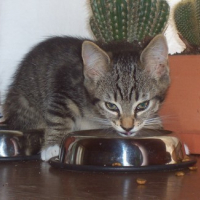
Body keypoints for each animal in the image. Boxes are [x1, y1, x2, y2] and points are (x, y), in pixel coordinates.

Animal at [3, 33, 170, 160]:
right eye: (111, 106)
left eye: (143, 105)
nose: (127, 127)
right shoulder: (64, 84)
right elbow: (59, 116)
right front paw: (52, 145)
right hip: (26, 104)